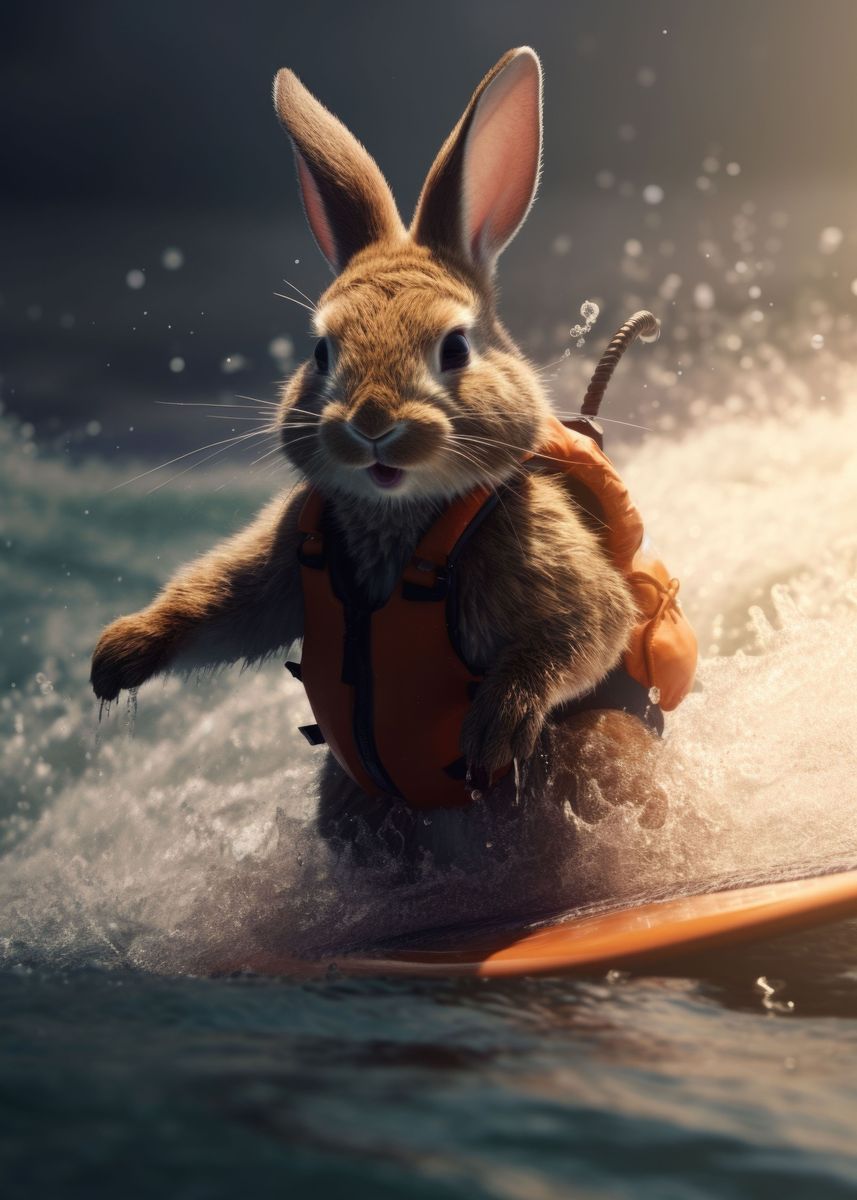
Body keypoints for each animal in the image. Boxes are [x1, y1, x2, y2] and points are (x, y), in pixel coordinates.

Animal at [91, 47, 668, 863]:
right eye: (321, 351)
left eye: (454, 348)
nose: (370, 425)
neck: (400, 516)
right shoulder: (278, 562)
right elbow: (216, 605)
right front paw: (116, 657)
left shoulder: (543, 563)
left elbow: (584, 629)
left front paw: (493, 731)